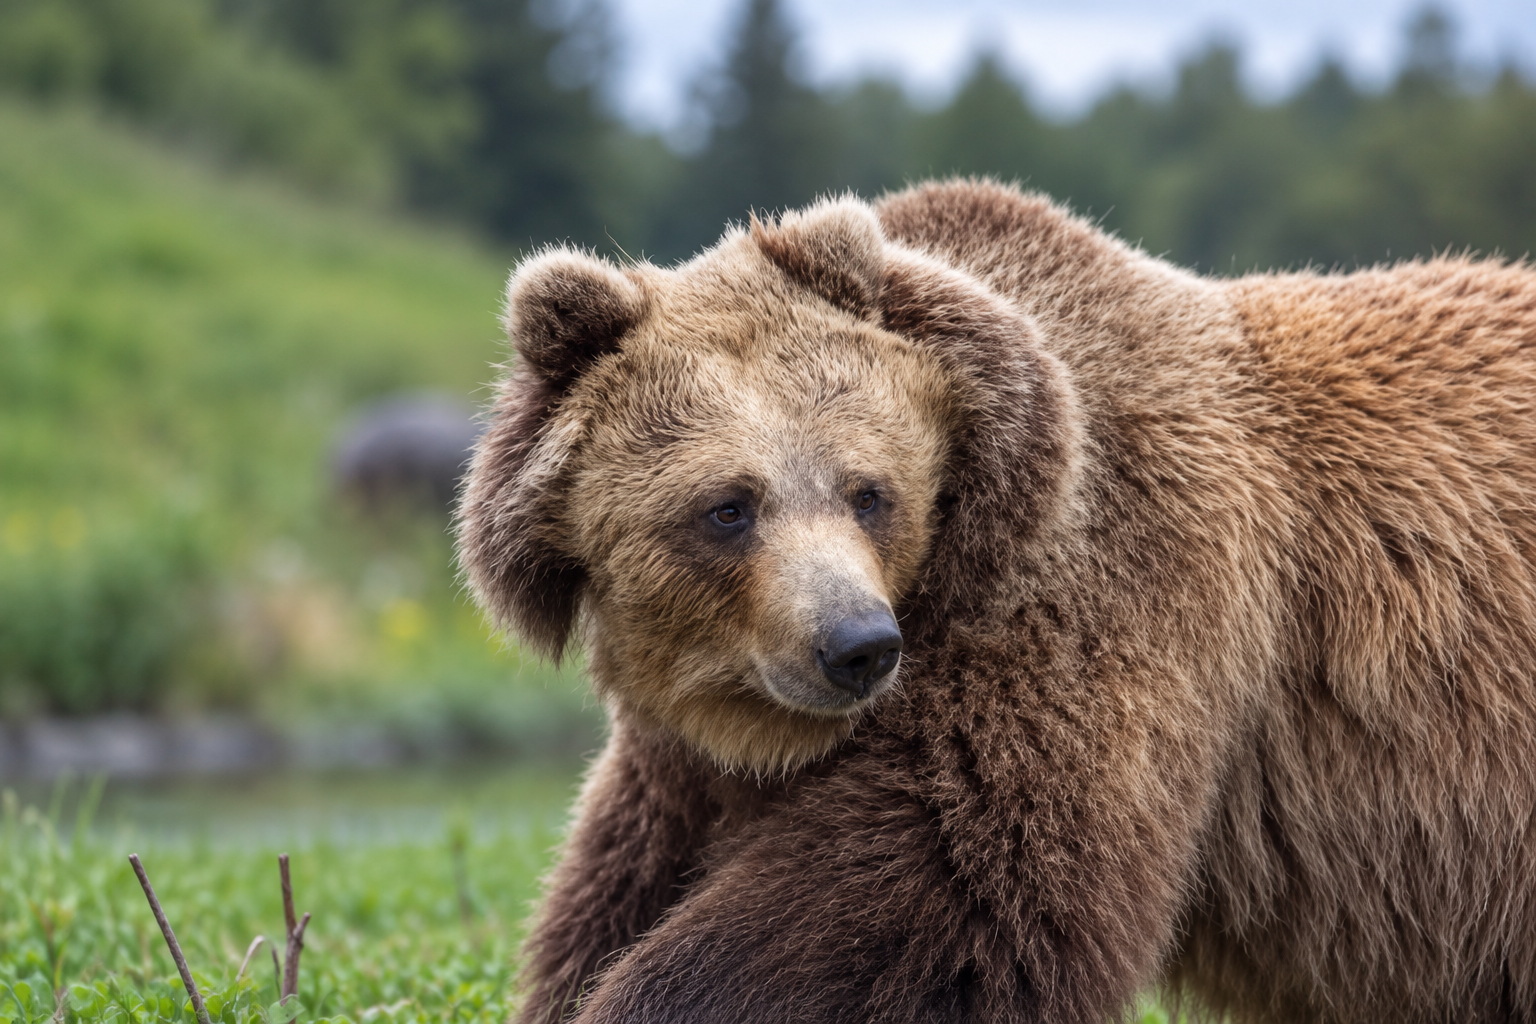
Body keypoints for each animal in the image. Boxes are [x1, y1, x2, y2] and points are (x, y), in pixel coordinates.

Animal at [456, 179, 1536, 1024]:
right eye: (729, 506)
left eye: (869, 490)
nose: (857, 644)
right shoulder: (678, 760)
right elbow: (614, 888)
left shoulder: (1097, 597)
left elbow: (941, 899)